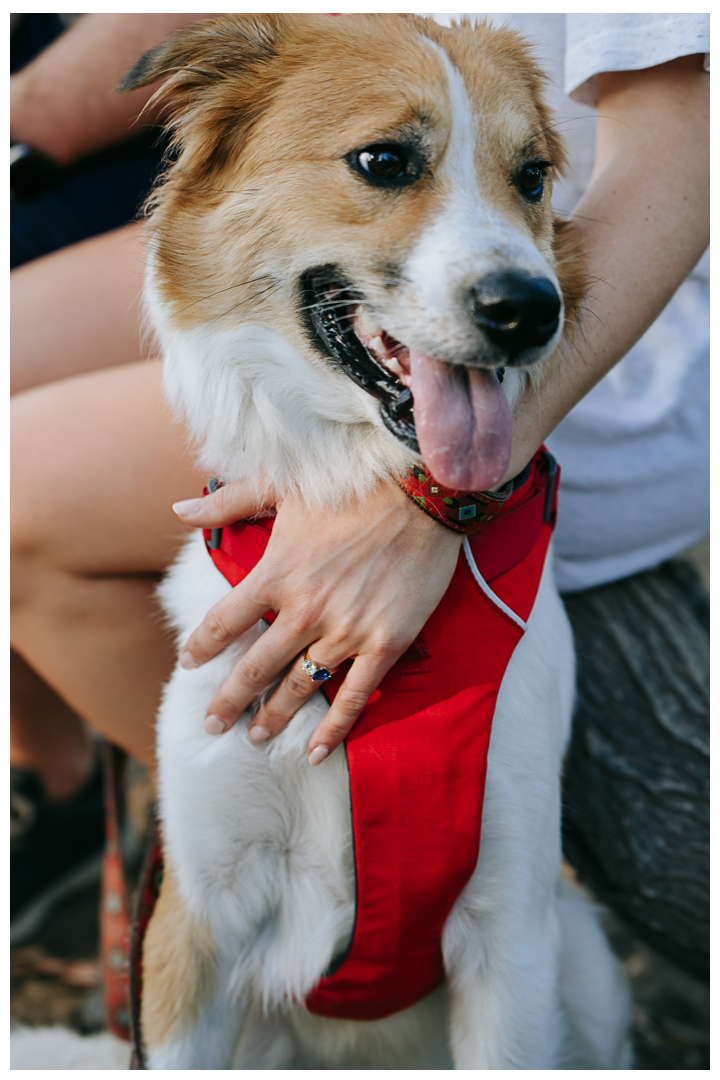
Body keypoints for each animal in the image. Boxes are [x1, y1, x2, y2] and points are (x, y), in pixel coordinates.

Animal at [117, 12, 630, 1067]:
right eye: (385, 161)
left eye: (531, 176)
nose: (531, 311)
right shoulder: (193, 928)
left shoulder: (513, 936)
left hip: (588, 973)